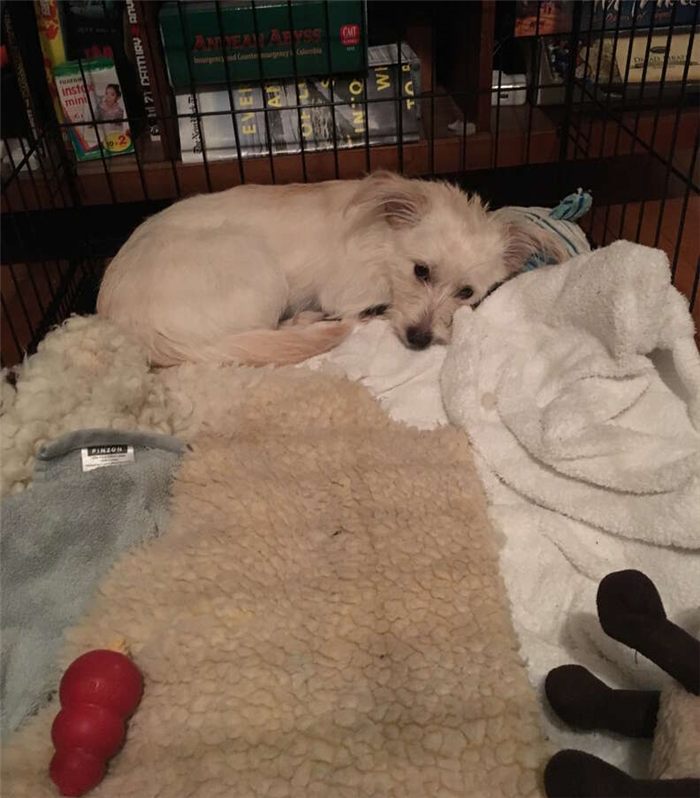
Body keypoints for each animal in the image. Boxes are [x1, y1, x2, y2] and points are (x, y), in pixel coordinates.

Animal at [97, 173, 564, 368]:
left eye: (467, 293)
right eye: (420, 271)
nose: (419, 340)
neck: (384, 242)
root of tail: (136, 332)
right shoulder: (348, 292)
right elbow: (358, 308)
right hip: (258, 268)